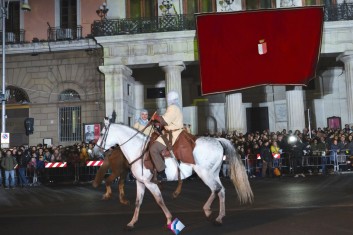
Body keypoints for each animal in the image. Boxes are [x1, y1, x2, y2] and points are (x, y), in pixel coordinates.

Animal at [95, 123, 252, 229]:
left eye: (102, 134)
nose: (95, 150)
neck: (139, 150)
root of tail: (217, 141)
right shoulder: (140, 182)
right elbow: (138, 202)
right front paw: (132, 222)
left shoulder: (150, 183)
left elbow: (159, 200)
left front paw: (169, 219)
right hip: (213, 173)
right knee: (221, 190)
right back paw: (219, 217)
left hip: (205, 174)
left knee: (216, 189)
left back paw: (209, 212)